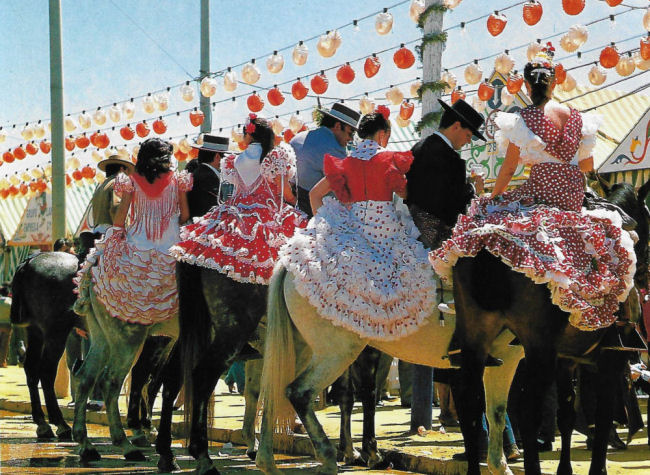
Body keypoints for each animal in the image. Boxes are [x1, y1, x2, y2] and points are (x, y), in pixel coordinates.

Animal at [253, 266, 520, 475]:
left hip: (300, 348)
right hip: (336, 351)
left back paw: (267, 461)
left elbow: (493, 413)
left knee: (274, 392)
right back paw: (327, 458)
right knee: (299, 393)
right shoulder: (507, 354)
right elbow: (492, 413)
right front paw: (499, 465)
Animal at [450, 181, 648, 475]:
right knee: (527, 409)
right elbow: (602, 415)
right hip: (537, 350)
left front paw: (565, 468)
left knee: (471, 405)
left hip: (475, 341)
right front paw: (597, 468)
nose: (644, 274)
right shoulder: (610, 359)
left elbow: (566, 413)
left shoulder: (567, 360)